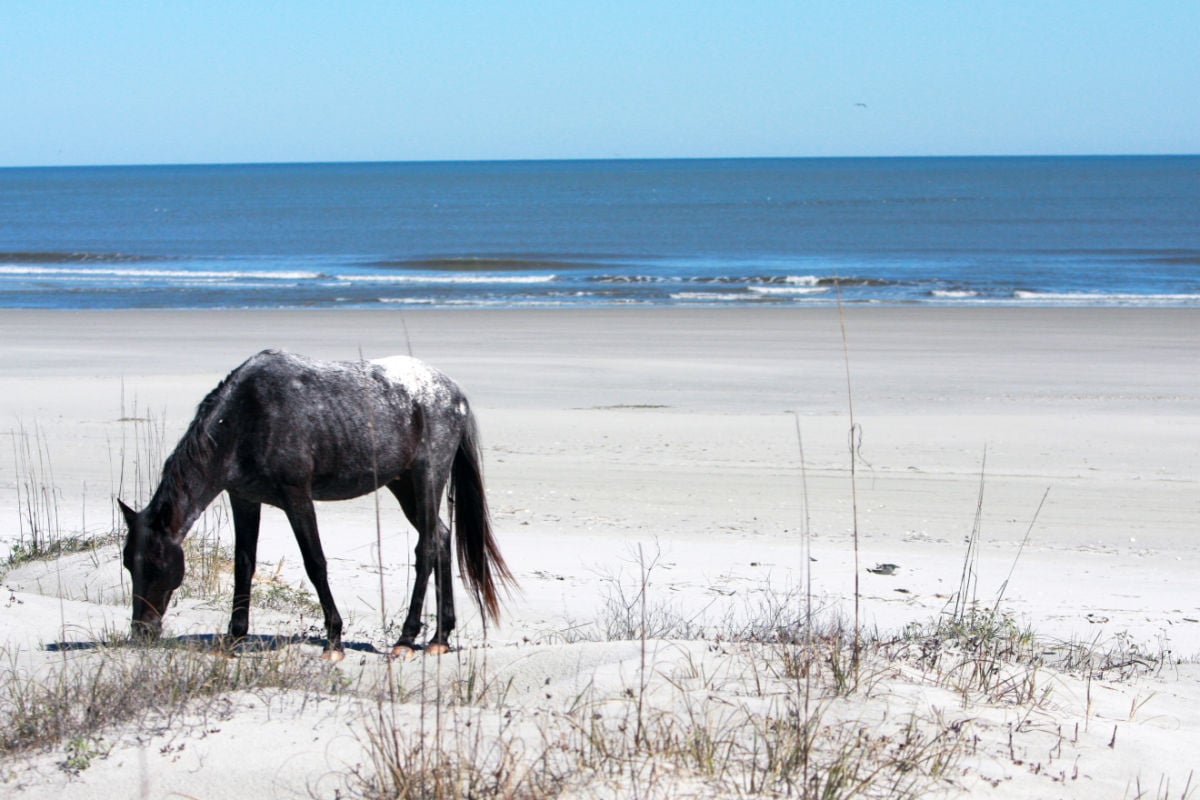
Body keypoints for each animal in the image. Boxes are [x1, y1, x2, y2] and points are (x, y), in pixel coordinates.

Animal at [118, 349, 512, 662]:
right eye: (128, 564)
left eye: (155, 563)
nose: (142, 631)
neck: (246, 416)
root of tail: (454, 392)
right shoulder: (244, 499)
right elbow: (243, 565)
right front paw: (235, 637)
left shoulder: (297, 497)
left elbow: (315, 563)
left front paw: (334, 641)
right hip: (403, 486)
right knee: (441, 539)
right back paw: (439, 637)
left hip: (426, 477)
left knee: (427, 548)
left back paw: (406, 638)